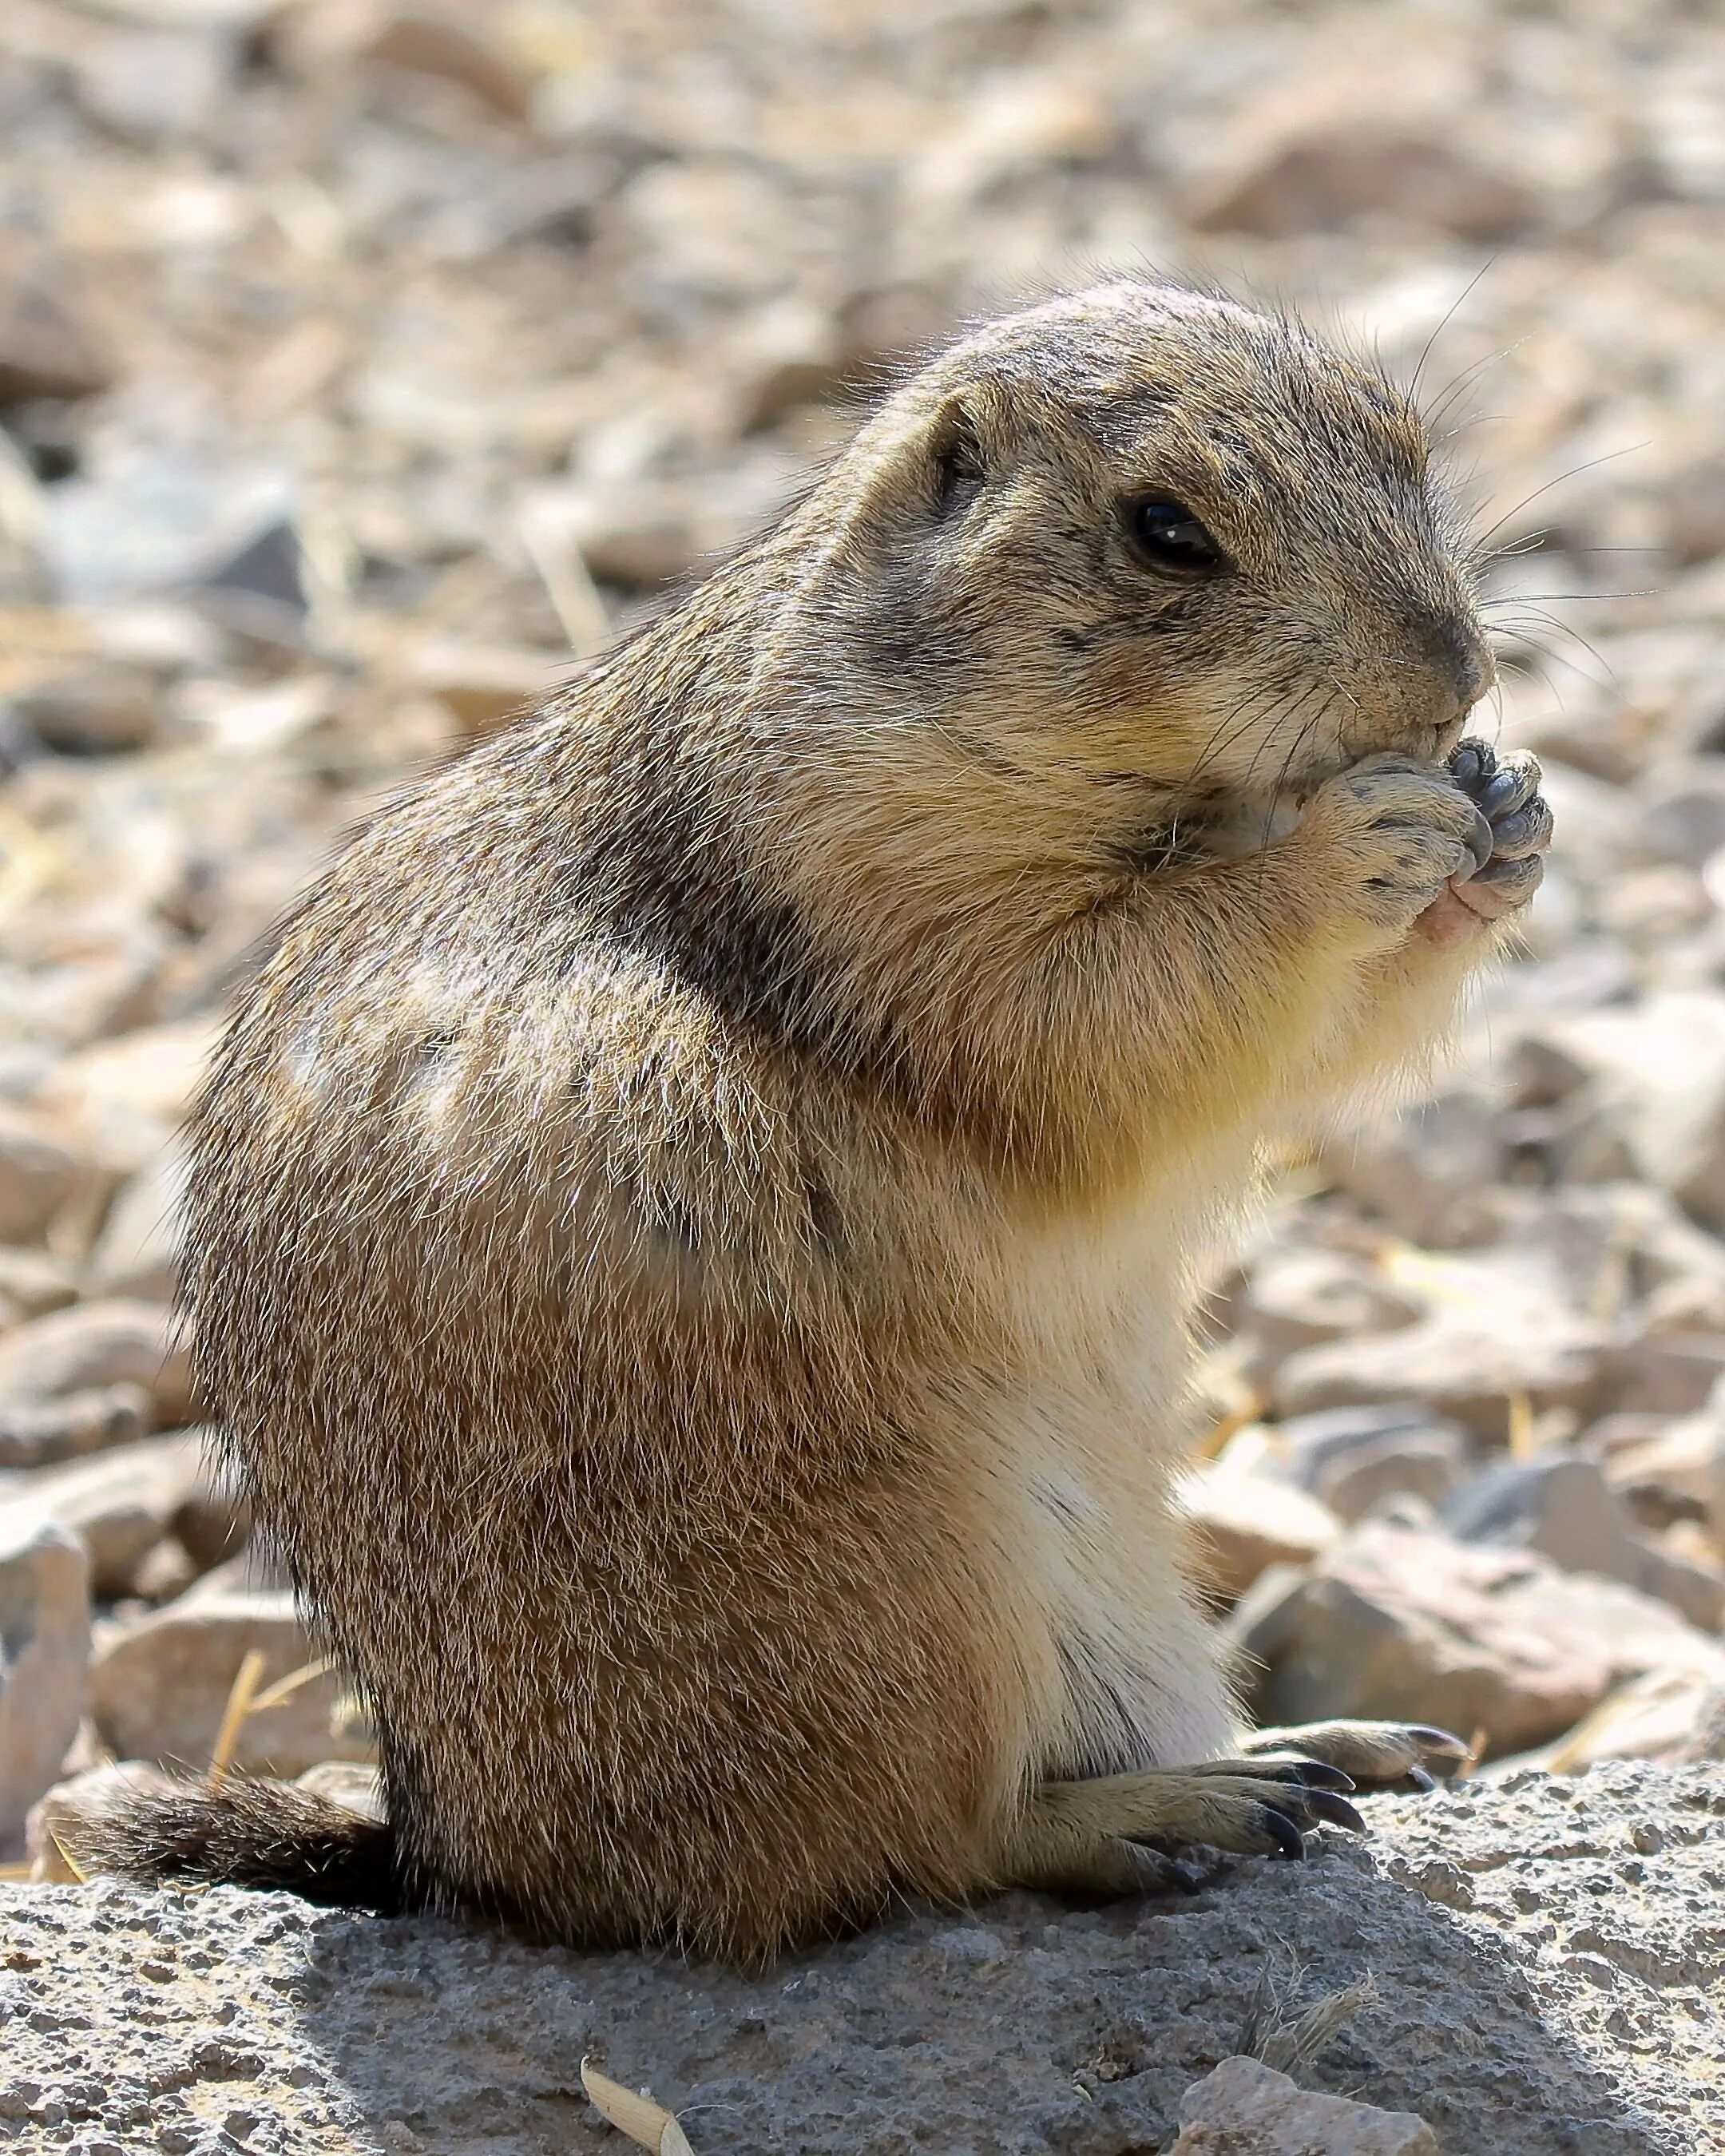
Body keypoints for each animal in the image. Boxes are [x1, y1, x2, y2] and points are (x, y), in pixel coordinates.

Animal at [70, 278, 1552, 1966]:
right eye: (1167, 531)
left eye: (1407, 439)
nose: (1454, 679)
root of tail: (454, 1850)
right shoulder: (871, 881)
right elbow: (1096, 1007)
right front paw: (1358, 843)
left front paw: (1508, 808)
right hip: (912, 1587)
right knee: (913, 1847)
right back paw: (1192, 1803)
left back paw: (1335, 1746)